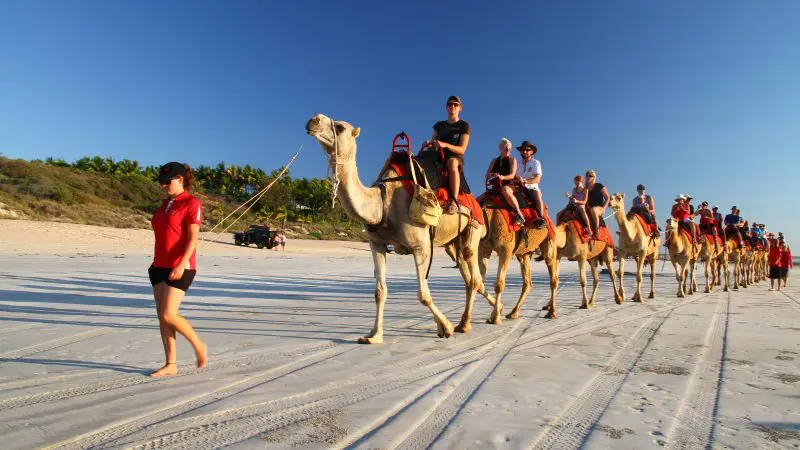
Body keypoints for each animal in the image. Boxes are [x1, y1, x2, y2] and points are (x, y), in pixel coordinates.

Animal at [306, 114, 493, 343]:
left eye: (340, 127)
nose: (313, 120)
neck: (382, 203)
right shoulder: (376, 245)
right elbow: (379, 291)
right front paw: (373, 335)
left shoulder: (421, 245)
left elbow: (423, 295)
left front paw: (446, 327)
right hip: (452, 242)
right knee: (470, 279)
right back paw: (493, 312)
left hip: (472, 230)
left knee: (474, 277)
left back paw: (466, 323)